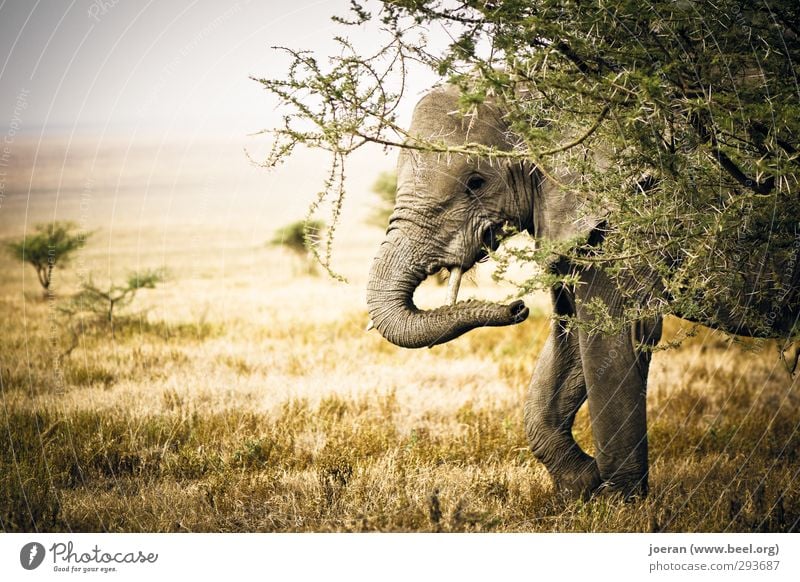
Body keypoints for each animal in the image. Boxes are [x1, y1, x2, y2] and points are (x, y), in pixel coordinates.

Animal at [368, 83, 800, 502]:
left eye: (476, 182)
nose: (517, 307)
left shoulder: (628, 217)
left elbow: (613, 338)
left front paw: (617, 505)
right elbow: (573, 342)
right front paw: (580, 487)